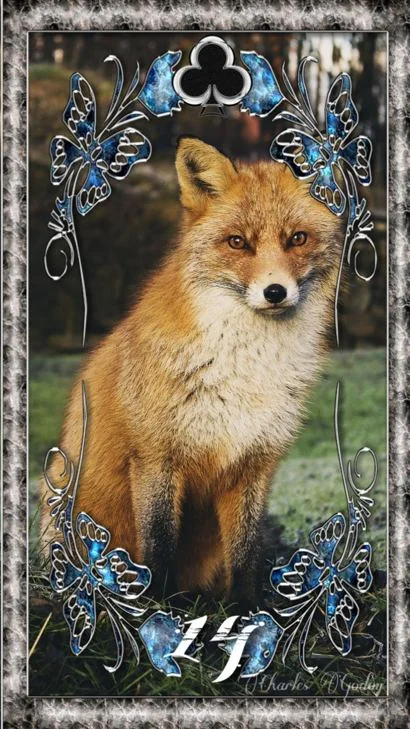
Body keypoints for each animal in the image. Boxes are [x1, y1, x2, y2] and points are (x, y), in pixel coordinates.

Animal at [41, 136, 343, 608]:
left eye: (297, 238)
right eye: (237, 242)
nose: (275, 292)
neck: (243, 369)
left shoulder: (255, 464)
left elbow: (246, 551)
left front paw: (245, 609)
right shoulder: (155, 457)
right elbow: (160, 544)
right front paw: (158, 609)